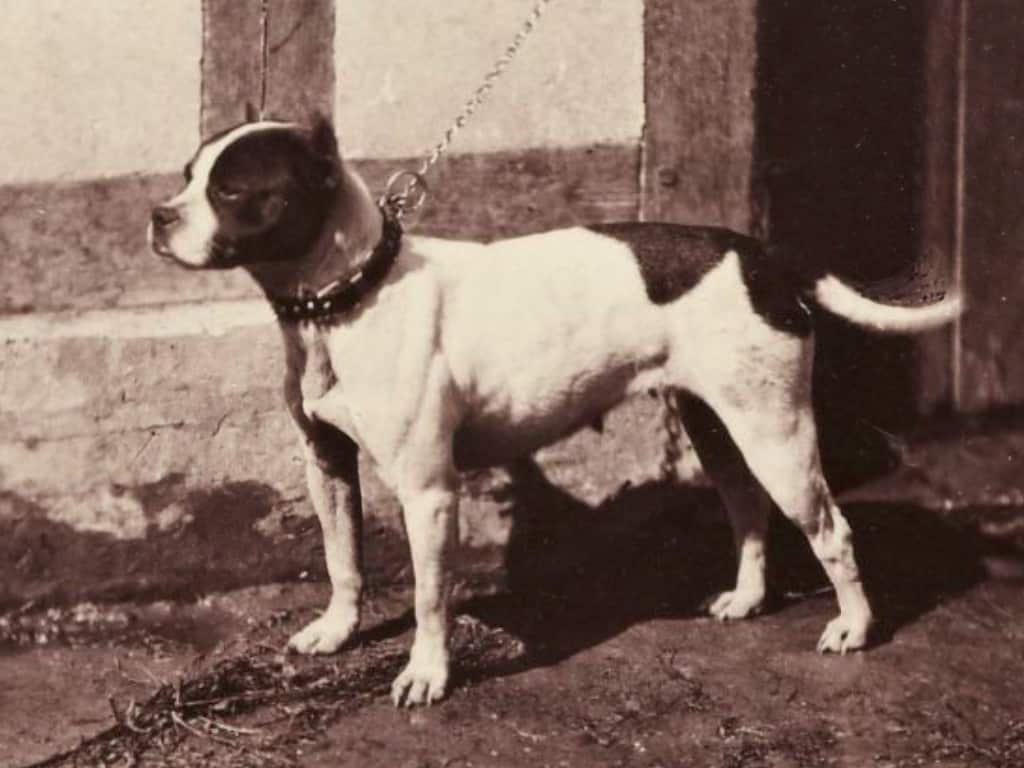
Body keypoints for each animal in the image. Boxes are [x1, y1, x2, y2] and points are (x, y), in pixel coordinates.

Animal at [148, 114, 962, 708]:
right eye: (189, 175)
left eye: (233, 190)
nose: (156, 215)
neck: (349, 293)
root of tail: (759, 254)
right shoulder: (327, 465)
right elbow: (342, 559)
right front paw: (338, 632)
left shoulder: (428, 492)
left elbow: (430, 596)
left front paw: (427, 674)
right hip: (722, 430)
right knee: (748, 511)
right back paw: (748, 598)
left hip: (778, 437)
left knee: (833, 531)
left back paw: (854, 627)